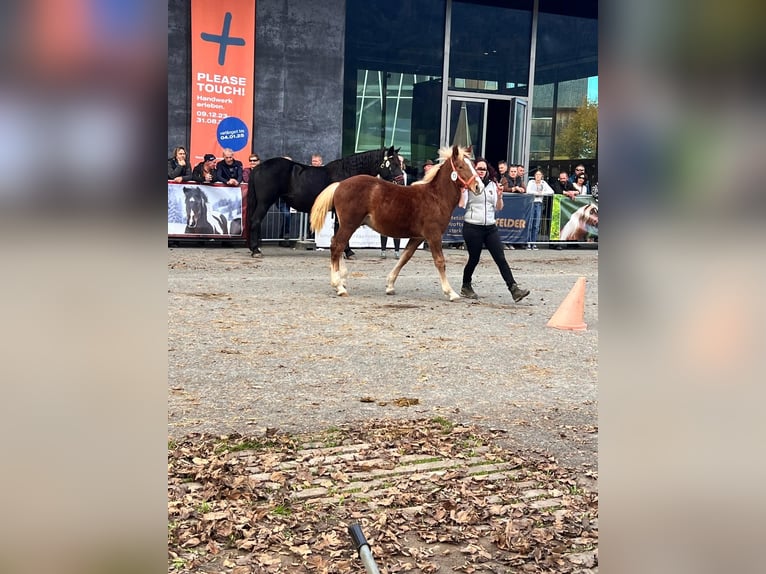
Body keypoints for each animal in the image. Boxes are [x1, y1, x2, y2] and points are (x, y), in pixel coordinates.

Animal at [248, 147, 404, 255]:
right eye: (393, 163)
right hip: (264, 202)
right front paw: (347, 251)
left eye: (400, 163)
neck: (348, 174)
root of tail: (258, 167)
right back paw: (255, 250)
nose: (402, 182)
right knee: (255, 221)